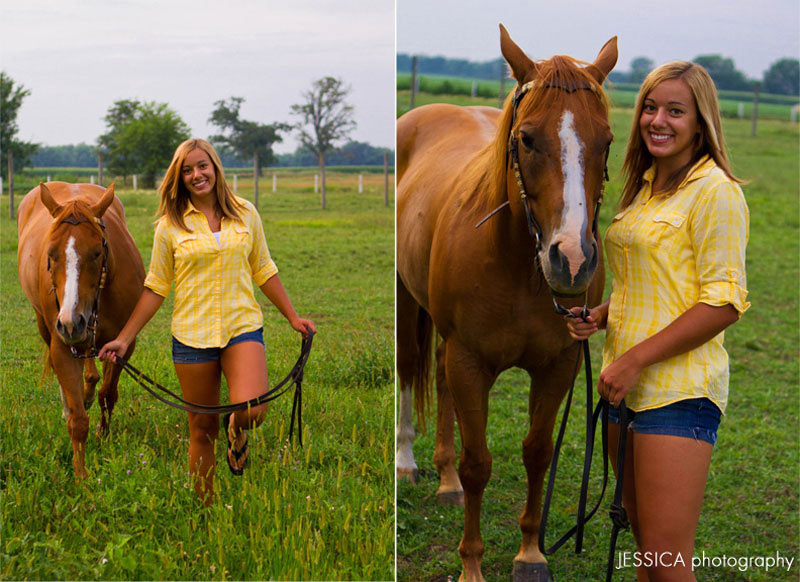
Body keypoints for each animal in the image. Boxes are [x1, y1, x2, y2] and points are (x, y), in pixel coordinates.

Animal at [18, 182, 145, 480]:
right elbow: (77, 419)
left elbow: (108, 394)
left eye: (97, 252)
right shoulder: (62, 344)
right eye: (50, 254)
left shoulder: (123, 344)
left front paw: (103, 436)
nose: (70, 322)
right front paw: (81, 479)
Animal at [396, 26, 616, 582]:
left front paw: (531, 554)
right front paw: (471, 565)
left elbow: (538, 454)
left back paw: (444, 479)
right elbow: (479, 464)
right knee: (410, 368)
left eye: (606, 141)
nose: (572, 259)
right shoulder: (470, 361)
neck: (521, 266)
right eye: (527, 138)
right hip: (408, 302)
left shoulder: (559, 364)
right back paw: (407, 462)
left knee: (437, 375)